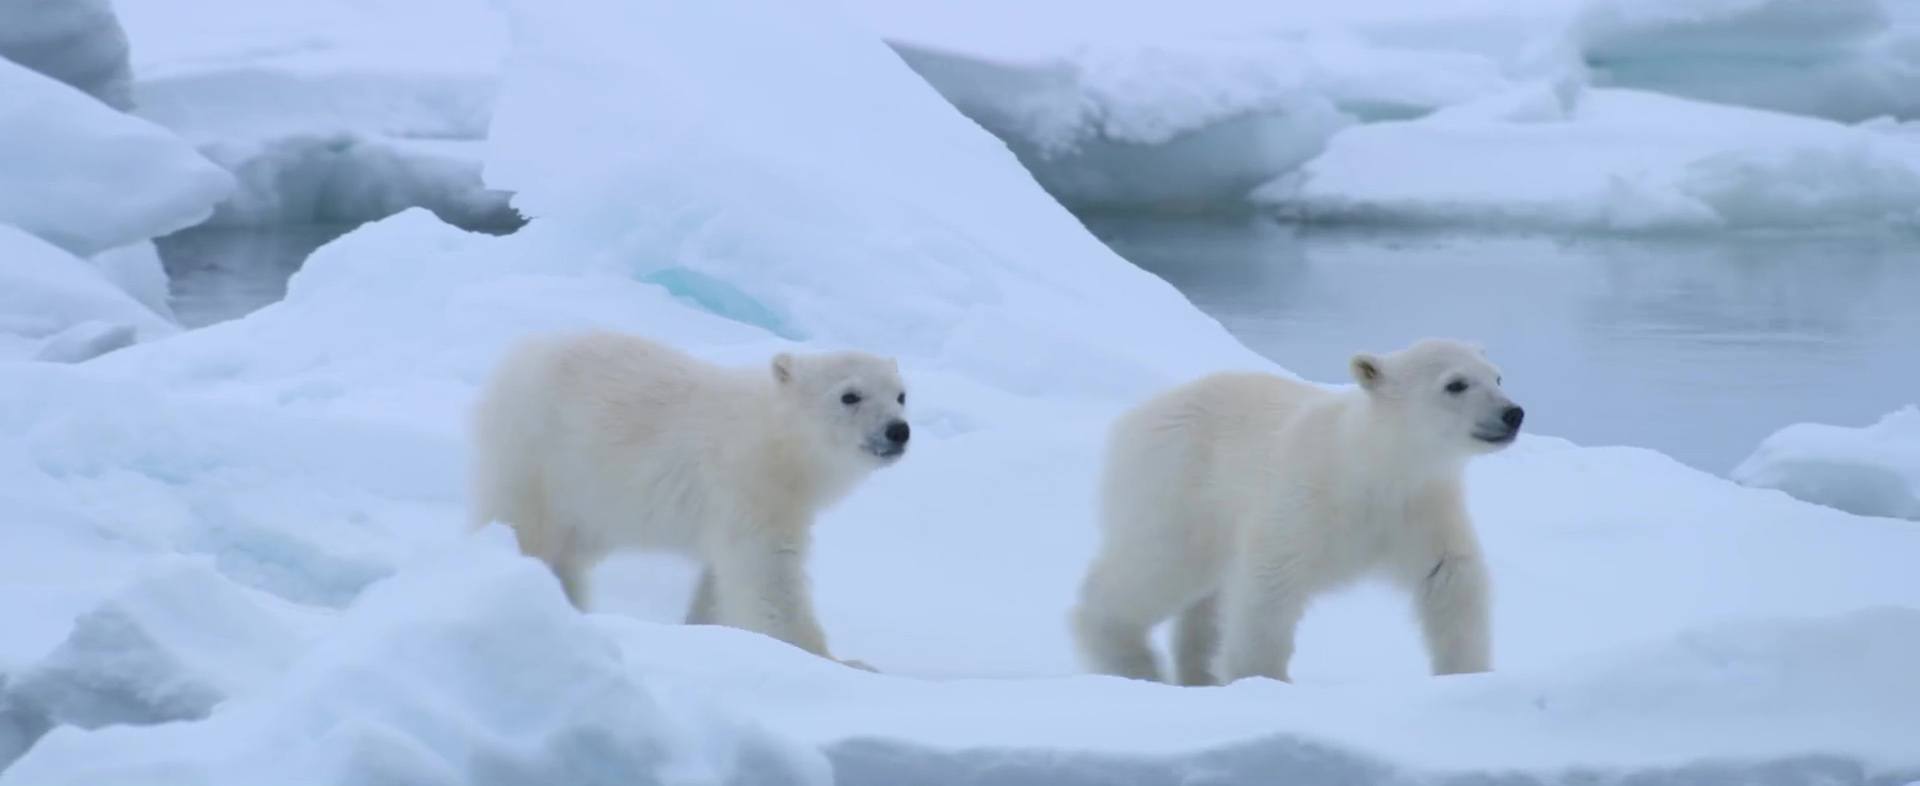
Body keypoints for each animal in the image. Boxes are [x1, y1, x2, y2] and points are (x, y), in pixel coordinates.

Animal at [467, 330, 910, 668]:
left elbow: (719, 580)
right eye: (850, 396)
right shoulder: (749, 485)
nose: (898, 431)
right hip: (538, 460)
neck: (776, 440)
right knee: (525, 528)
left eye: (901, 395)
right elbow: (767, 574)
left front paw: (703, 629)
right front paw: (840, 662)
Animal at [1070, 338, 1523, 685]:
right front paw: (1262, 679)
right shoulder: (1305, 498)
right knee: (1159, 566)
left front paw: (1467, 674)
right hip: (1180, 485)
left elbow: (1450, 578)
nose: (1513, 413)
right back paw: (1132, 662)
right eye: (1456, 384)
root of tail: (1134, 416)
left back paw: (1197, 675)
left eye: (1497, 376)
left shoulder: (1421, 506)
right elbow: (1271, 582)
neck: (1369, 465)